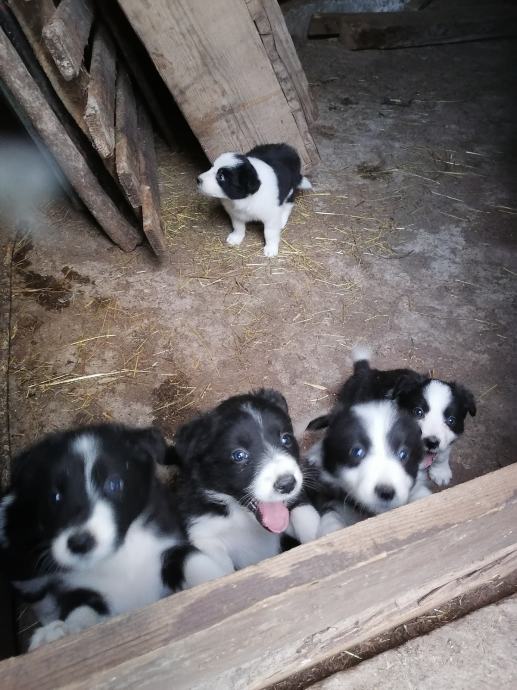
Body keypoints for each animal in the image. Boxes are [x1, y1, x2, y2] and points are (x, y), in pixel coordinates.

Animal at [0, 422, 194, 648]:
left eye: (114, 484)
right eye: (55, 496)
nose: (80, 543)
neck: (119, 560)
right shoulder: (80, 591)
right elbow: (80, 615)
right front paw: (57, 633)